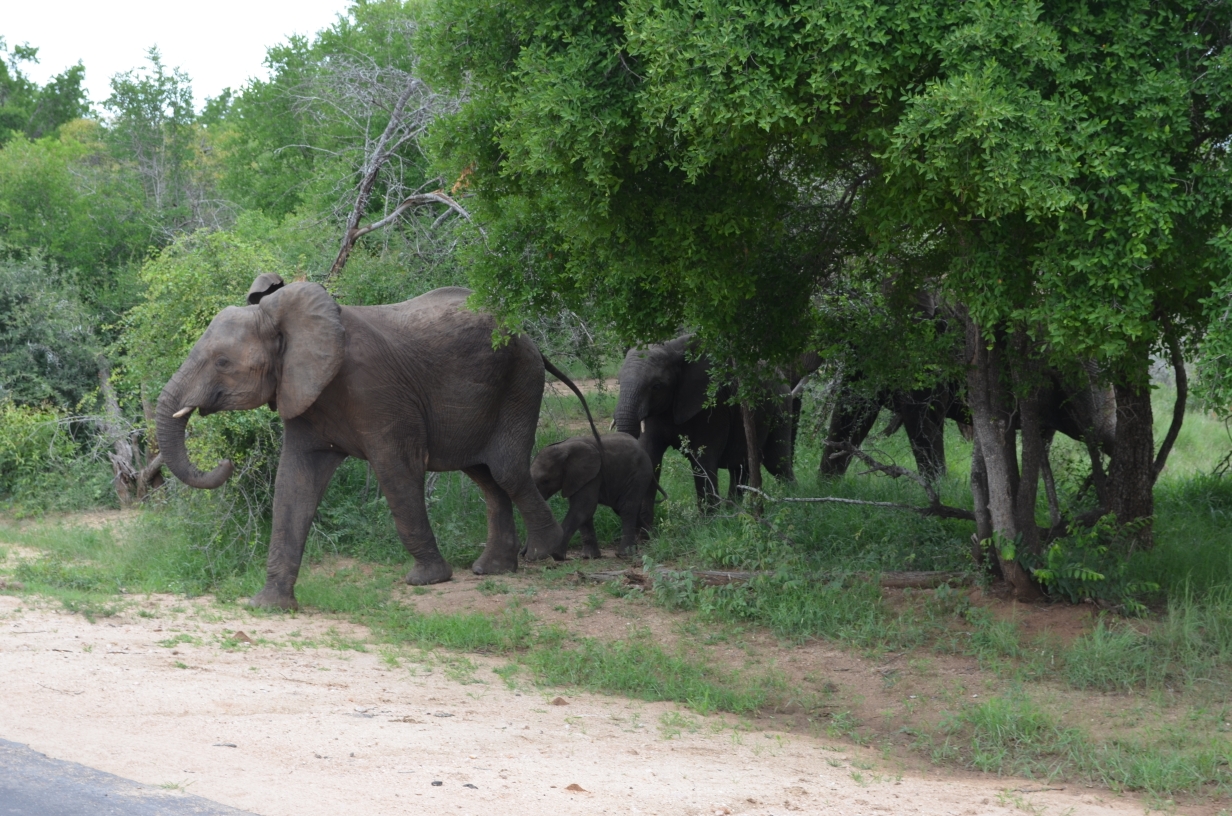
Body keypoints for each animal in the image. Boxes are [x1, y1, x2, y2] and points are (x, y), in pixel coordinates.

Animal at [156, 278, 598, 611]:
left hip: (520, 383)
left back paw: (543, 552)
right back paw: (493, 569)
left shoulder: (377, 391)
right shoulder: (301, 391)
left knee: (506, 470)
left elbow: (396, 471)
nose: (227, 462)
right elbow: (294, 482)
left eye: (222, 363)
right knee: (486, 476)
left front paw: (426, 581)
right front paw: (268, 605)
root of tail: (530, 338)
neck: (286, 318)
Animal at [529, 431, 665, 559]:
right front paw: (589, 557)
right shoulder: (579, 478)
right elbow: (584, 511)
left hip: (639, 474)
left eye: (545, 481)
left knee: (627, 509)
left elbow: (583, 508)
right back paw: (653, 540)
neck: (563, 448)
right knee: (621, 509)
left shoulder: (593, 473)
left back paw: (625, 553)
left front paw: (556, 555)